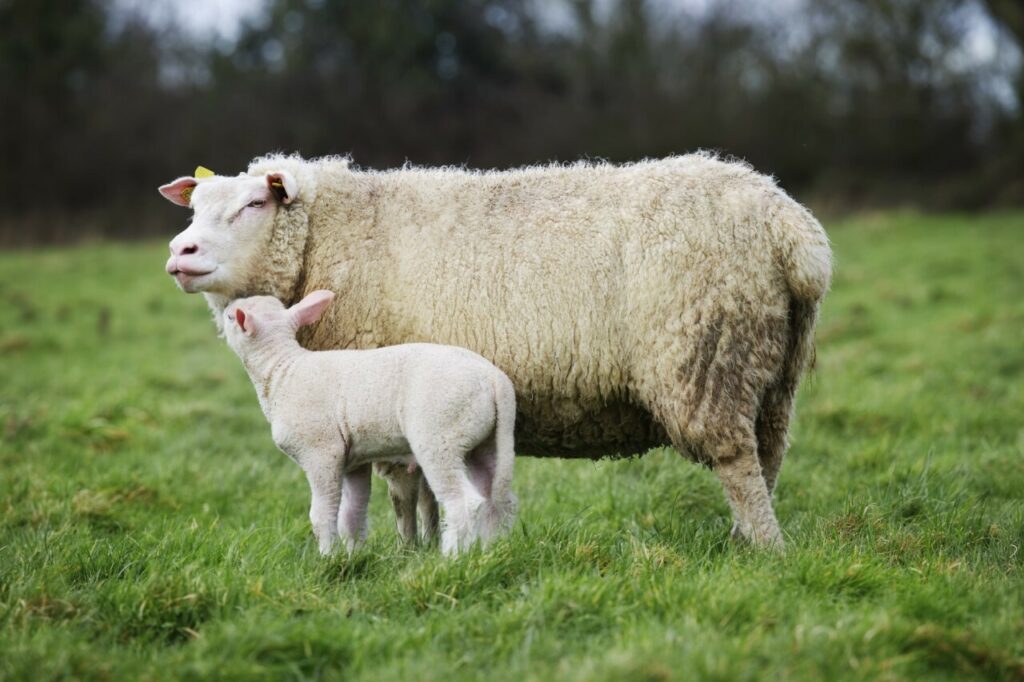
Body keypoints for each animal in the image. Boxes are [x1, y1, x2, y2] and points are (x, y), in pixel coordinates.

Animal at [220, 289, 518, 556]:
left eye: (230, 317)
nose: (225, 312)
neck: (281, 370)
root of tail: (496, 380)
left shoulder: (321, 452)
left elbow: (322, 514)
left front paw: (327, 557)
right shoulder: (353, 461)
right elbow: (351, 515)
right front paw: (352, 556)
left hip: (440, 437)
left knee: (463, 501)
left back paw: (453, 557)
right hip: (485, 442)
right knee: (498, 498)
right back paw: (492, 550)